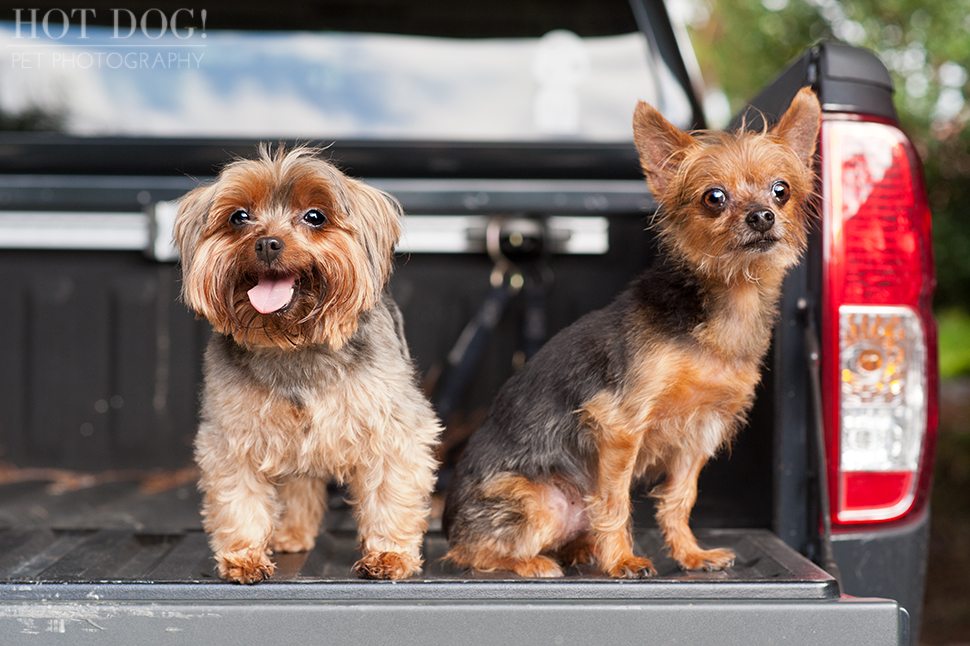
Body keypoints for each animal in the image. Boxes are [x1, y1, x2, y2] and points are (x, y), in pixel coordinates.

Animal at [176, 147, 440, 588]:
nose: (267, 243)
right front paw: (244, 557)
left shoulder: (393, 429)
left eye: (315, 216)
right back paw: (291, 535)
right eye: (239, 217)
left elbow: (391, 491)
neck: (293, 343)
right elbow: (239, 497)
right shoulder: (234, 435)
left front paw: (389, 554)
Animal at [444, 88, 816, 580]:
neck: (726, 302)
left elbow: (679, 498)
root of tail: (448, 523)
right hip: (536, 503)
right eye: (714, 197)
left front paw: (691, 554)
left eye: (782, 190)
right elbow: (614, 500)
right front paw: (622, 560)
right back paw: (532, 562)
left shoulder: (701, 432)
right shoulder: (621, 425)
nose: (762, 216)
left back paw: (581, 550)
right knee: (470, 553)